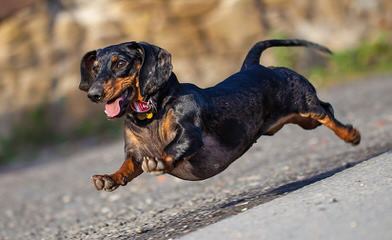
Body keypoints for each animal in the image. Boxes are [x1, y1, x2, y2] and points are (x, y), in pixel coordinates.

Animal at [79, 39, 362, 193]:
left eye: (120, 63)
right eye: (95, 68)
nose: (93, 95)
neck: (151, 113)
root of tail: (255, 66)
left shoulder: (189, 134)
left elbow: (172, 148)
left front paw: (159, 161)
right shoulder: (135, 153)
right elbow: (127, 167)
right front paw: (108, 178)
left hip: (305, 104)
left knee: (327, 111)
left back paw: (352, 135)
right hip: (305, 121)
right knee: (326, 111)